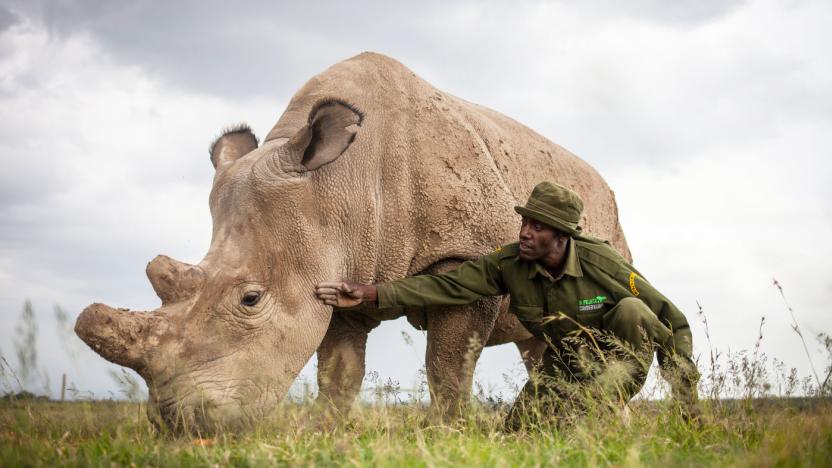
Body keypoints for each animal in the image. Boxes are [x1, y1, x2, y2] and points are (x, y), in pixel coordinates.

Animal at [76, 51, 632, 432]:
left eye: (250, 299)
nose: (179, 422)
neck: (339, 182)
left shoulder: (464, 253)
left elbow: (448, 364)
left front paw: (449, 433)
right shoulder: (338, 262)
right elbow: (339, 370)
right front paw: (327, 431)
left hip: (608, 221)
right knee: (541, 343)